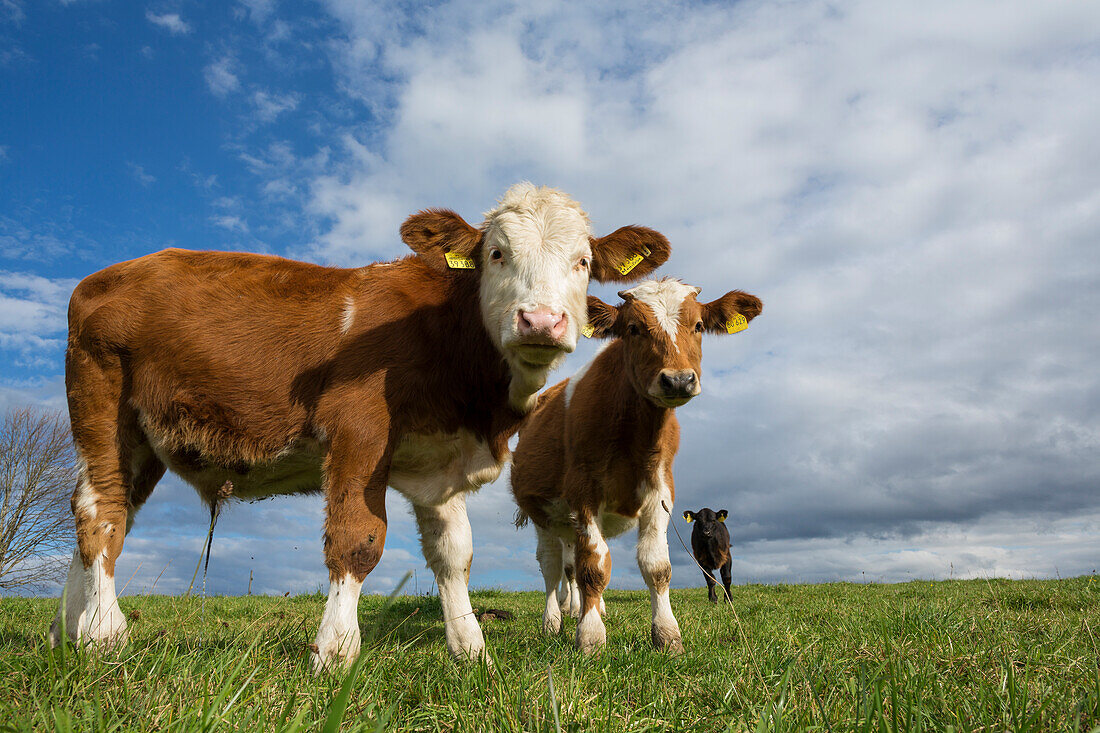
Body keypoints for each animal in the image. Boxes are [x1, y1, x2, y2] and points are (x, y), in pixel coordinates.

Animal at [49, 181, 668, 669]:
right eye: (496, 253)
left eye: (582, 262)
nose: (541, 321)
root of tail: (106, 275)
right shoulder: (359, 429)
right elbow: (358, 540)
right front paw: (336, 651)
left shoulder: (440, 461)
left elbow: (455, 554)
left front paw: (471, 649)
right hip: (103, 403)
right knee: (101, 510)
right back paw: (103, 632)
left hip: (142, 439)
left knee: (101, 509)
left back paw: (66, 633)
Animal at [510, 278, 761, 651]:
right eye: (633, 328)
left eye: (699, 326)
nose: (678, 380)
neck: (636, 438)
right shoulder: (583, 493)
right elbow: (593, 569)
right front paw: (590, 636)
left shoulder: (661, 492)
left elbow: (656, 567)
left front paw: (667, 636)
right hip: (543, 513)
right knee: (554, 567)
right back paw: (553, 621)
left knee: (573, 564)